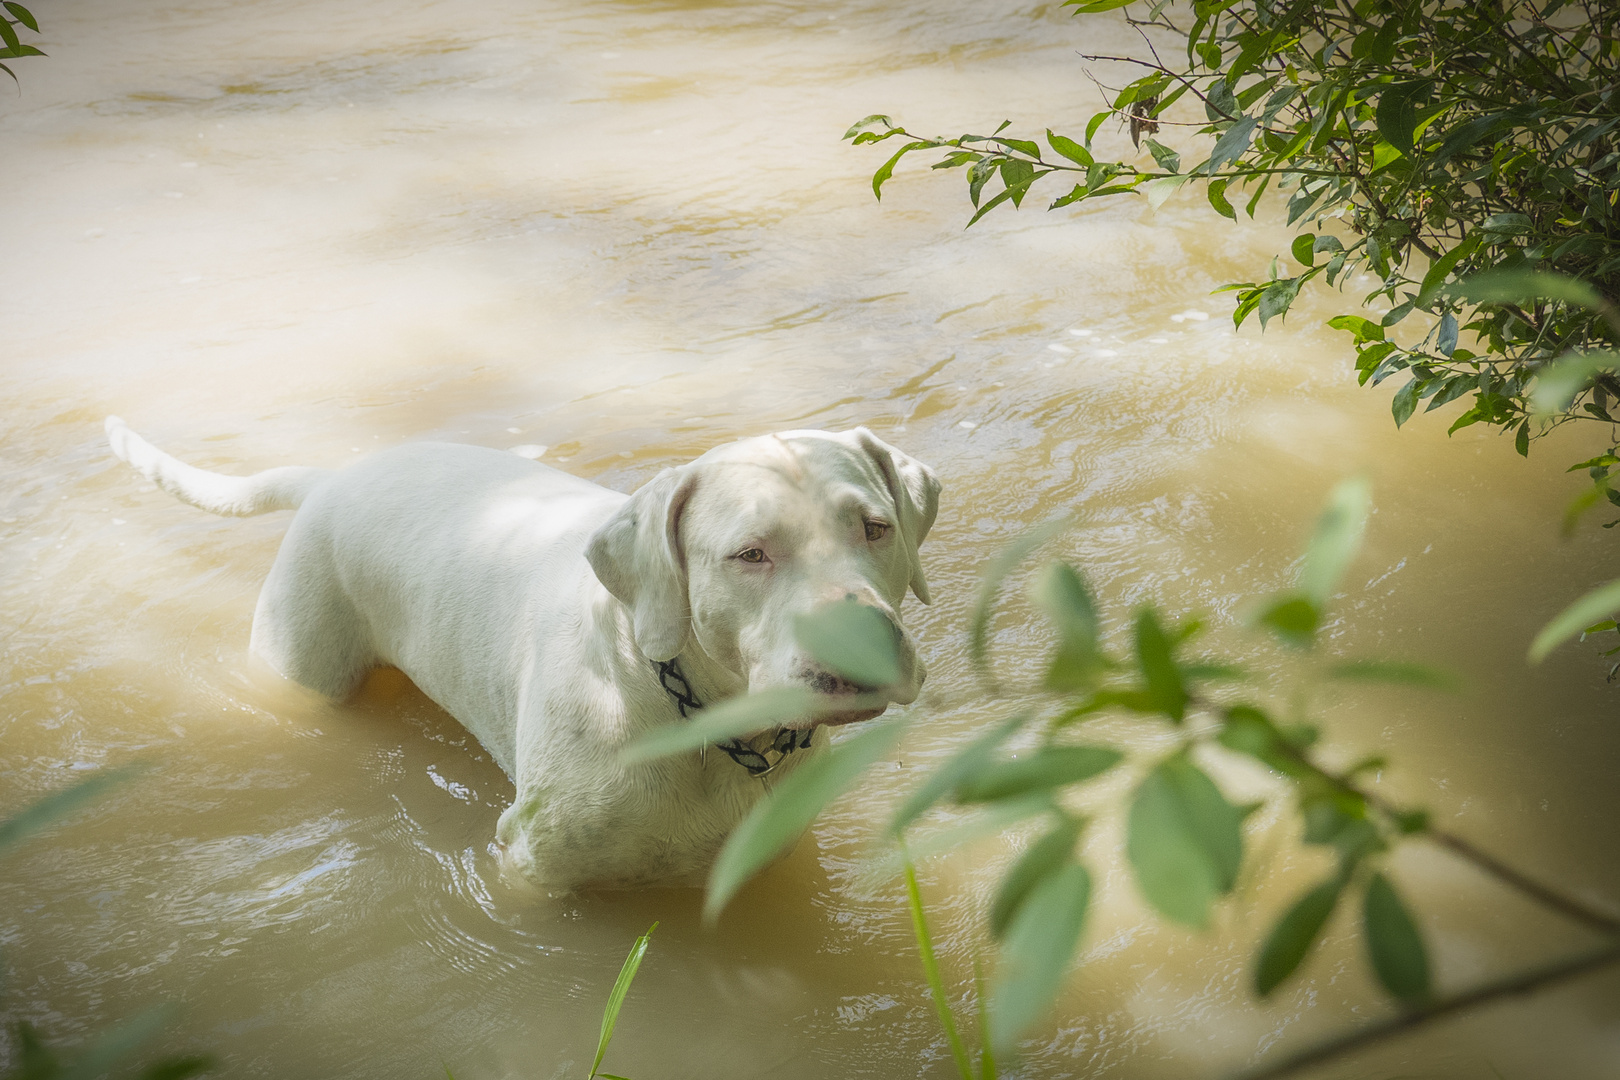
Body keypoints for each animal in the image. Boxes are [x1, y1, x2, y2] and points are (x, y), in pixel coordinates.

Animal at [104, 417, 939, 893]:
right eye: (750, 553)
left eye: (874, 526)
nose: (867, 643)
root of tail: (332, 478)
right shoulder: (528, 872)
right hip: (302, 658)